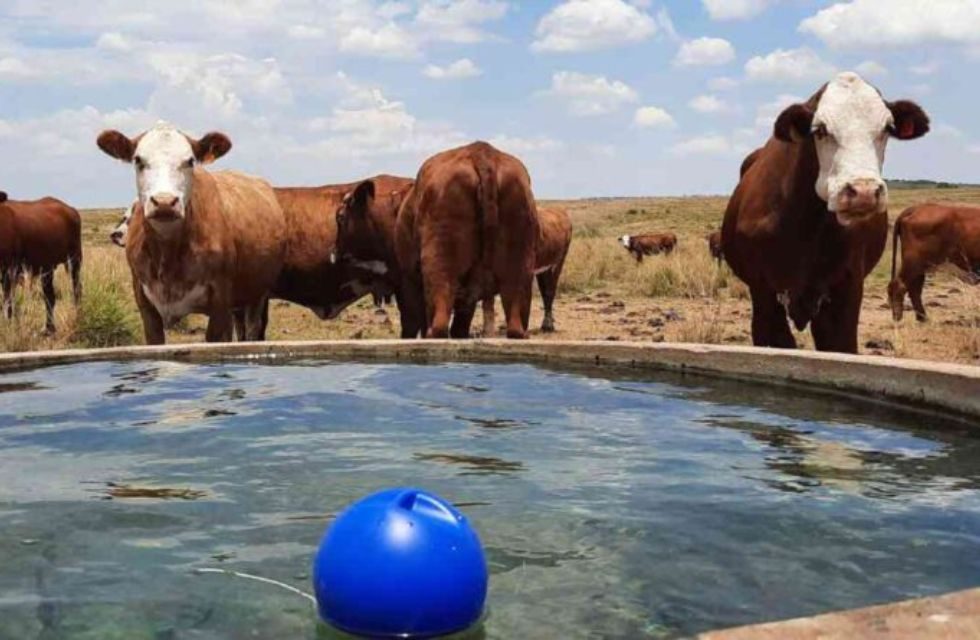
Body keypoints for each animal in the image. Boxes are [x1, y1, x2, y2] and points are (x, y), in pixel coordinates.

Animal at [0, 191, 82, 333]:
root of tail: (71, 210)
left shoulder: (10, 269)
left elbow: (8, 302)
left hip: (74, 260)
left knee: (76, 291)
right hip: (47, 268)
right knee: (50, 296)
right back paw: (49, 327)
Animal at [96, 122, 287, 344]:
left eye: (190, 161)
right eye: (138, 160)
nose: (164, 202)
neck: (168, 254)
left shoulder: (221, 301)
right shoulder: (145, 303)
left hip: (257, 294)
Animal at [722, 71, 930, 353]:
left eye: (887, 127)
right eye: (820, 129)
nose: (863, 191)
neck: (807, 227)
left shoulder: (846, 292)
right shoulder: (764, 295)